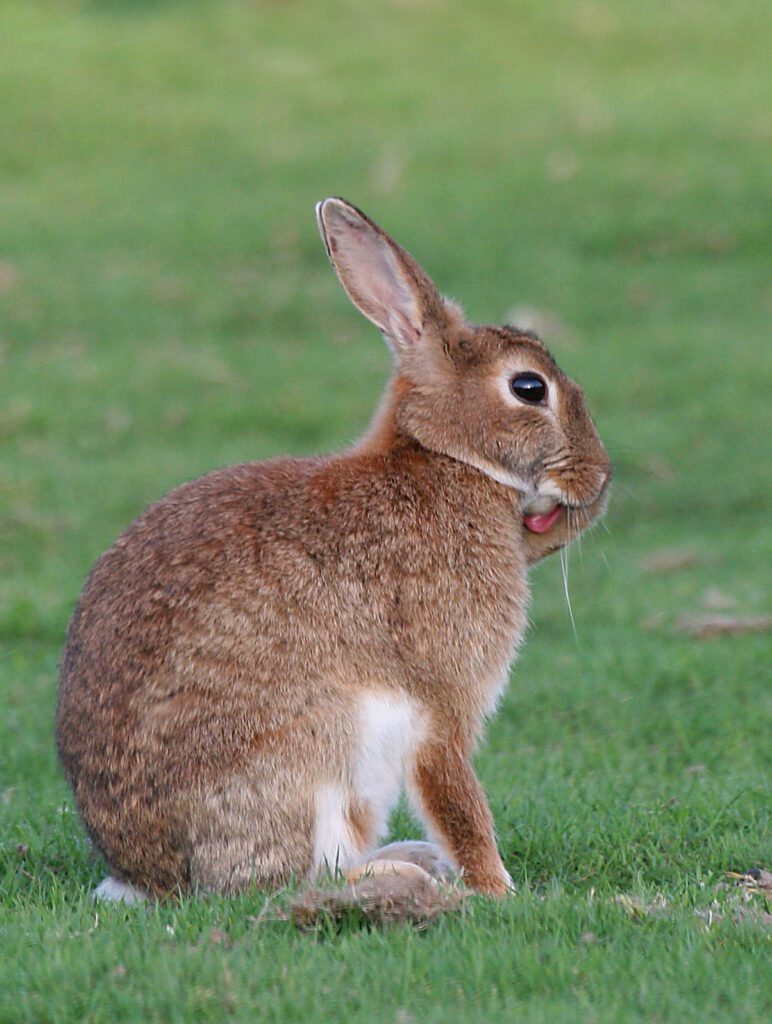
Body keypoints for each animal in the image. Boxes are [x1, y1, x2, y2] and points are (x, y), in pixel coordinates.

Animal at [55, 193, 606, 905]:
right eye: (529, 388)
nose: (599, 478)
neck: (447, 461)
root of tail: (146, 879)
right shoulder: (443, 704)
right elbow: (456, 796)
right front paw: (497, 889)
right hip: (320, 755)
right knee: (290, 877)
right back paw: (404, 874)